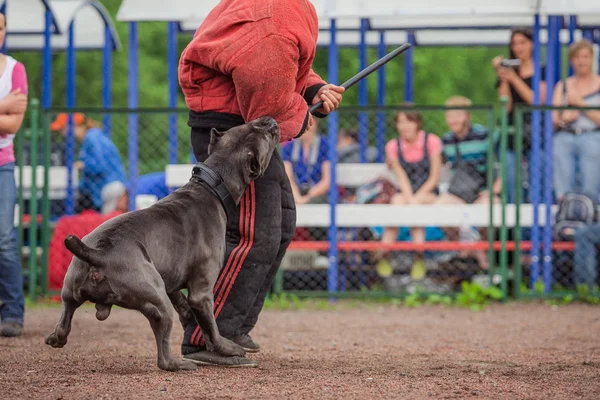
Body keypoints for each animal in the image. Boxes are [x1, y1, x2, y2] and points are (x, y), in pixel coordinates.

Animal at [44, 116, 282, 372]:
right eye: (264, 135)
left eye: (249, 125)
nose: (269, 120)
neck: (212, 186)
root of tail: (96, 254)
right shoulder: (201, 291)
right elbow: (210, 327)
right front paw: (226, 348)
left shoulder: (170, 276)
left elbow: (181, 299)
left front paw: (188, 316)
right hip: (157, 302)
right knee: (164, 357)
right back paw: (181, 364)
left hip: (71, 288)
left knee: (64, 320)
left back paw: (56, 338)